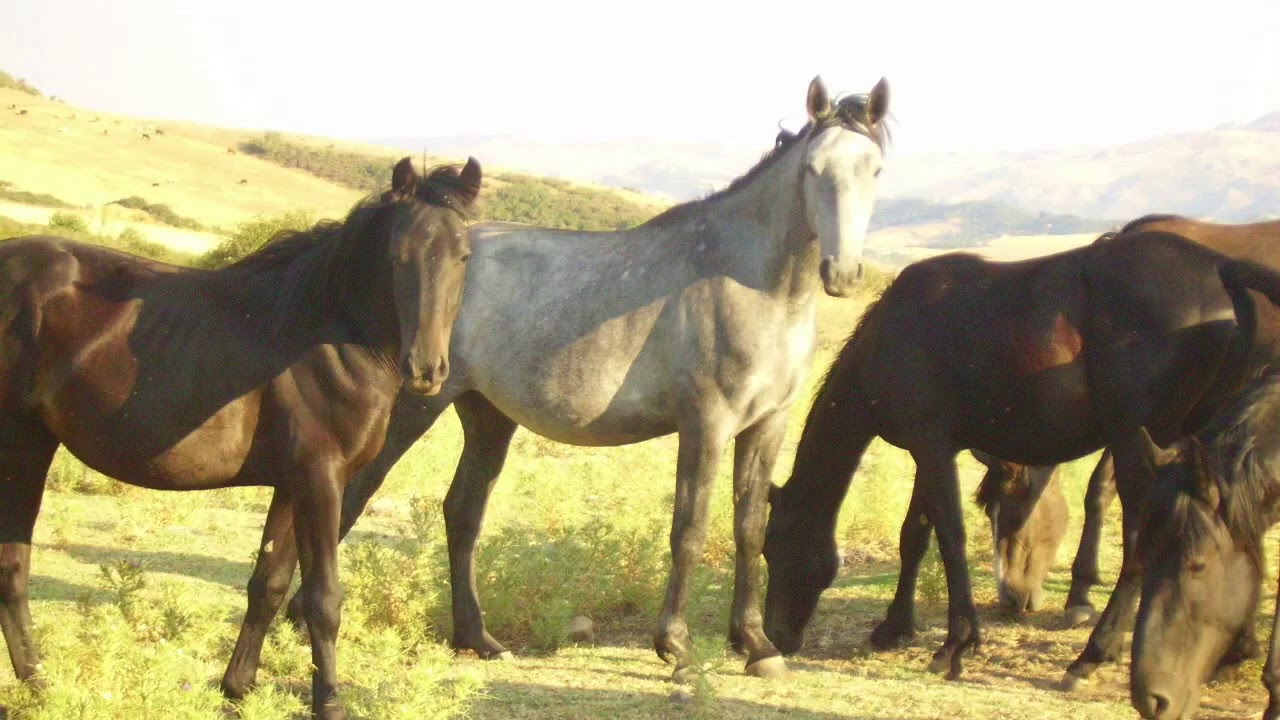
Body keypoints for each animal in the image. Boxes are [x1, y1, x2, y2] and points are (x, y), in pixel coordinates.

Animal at [0, 156, 481, 719]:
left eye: (463, 254)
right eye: (397, 254)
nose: (427, 370)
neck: (329, 333)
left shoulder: (293, 483)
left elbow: (268, 584)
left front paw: (238, 687)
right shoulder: (322, 477)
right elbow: (323, 600)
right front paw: (329, 704)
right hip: (20, 444)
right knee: (13, 566)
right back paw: (38, 688)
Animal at [278, 76, 891, 679]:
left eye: (876, 170)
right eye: (814, 170)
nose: (842, 273)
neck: (757, 289)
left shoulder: (768, 424)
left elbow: (748, 528)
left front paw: (757, 645)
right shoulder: (706, 425)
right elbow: (689, 530)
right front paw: (676, 647)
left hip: (486, 415)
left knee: (463, 512)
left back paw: (477, 638)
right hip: (416, 403)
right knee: (356, 493)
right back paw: (300, 620)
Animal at [761, 229, 1280, 681]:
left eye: (772, 548)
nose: (774, 637)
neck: (892, 335)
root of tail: (1218, 269)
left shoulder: (933, 447)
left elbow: (949, 538)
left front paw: (956, 644)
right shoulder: (928, 450)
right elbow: (915, 535)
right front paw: (894, 628)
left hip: (1139, 445)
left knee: (1140, 542)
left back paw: (1093, 654)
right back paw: (1231, 651)